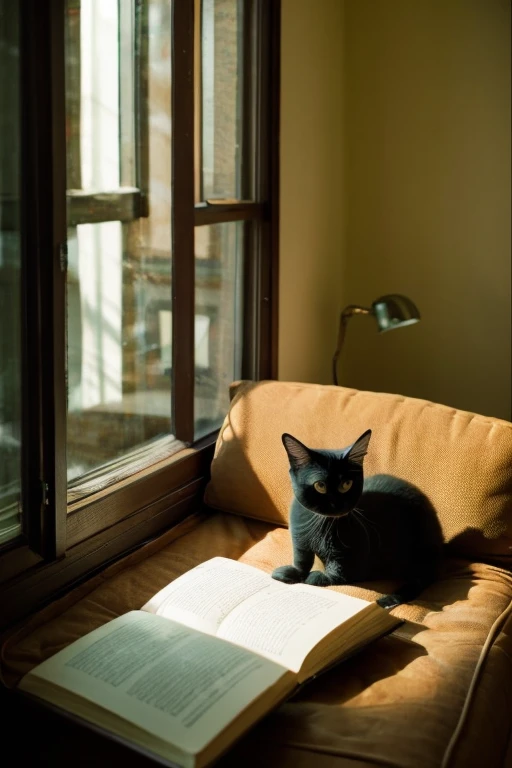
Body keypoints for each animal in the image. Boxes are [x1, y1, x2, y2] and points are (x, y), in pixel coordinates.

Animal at [272, 428, 444, 608]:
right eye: (320, 486)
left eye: (347, 484)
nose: (337, 504)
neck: (321, 524)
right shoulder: (298, 537)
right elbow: (301, 557)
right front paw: (290, 572)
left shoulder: (353, 557)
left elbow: (339, 572)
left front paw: (316, 577)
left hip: (424, 549)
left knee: (420, 579)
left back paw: (387, 600)